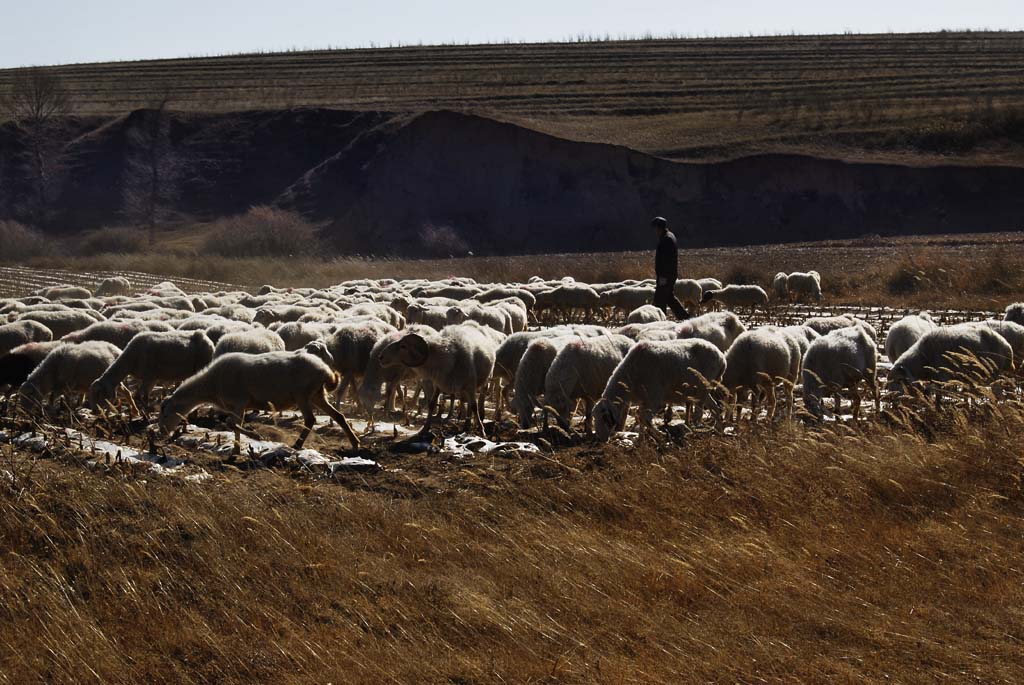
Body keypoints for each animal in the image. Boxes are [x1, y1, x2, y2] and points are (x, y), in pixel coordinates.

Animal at [88, 329, 216, 411]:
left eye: (98, 394)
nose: (94, 411)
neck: (130, 359)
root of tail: (208, 340)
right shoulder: (149, 378)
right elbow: (139, 396)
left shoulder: (149, 377)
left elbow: (142, 397)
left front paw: (147, 415)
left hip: (201, 366)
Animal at [158, 348, 360, 454]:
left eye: (166, 414)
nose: (161, 433)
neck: (211, 384)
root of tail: (325, 370)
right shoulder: (235, 406)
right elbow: (233, 425)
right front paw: (236, 449)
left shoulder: (239, 402)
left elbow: (232, 423)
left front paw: (255, 437)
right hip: (317, 394)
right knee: (339, 416)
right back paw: (355, 443)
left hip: (302, 394)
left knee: (310, 419)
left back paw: (297, 445)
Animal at [593, 337, 729, 444]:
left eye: (605, 419)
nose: (601, 440)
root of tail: (722, 358)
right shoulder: (644, 400)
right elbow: (640, 417)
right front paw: (640, 441)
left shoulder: (654, 398)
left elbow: (645, 419)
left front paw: (662, 436)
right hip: (702, 391)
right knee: (715, 408)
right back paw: (718, 431)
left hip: (702, 388)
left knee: (699, 414)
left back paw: (694, 432)